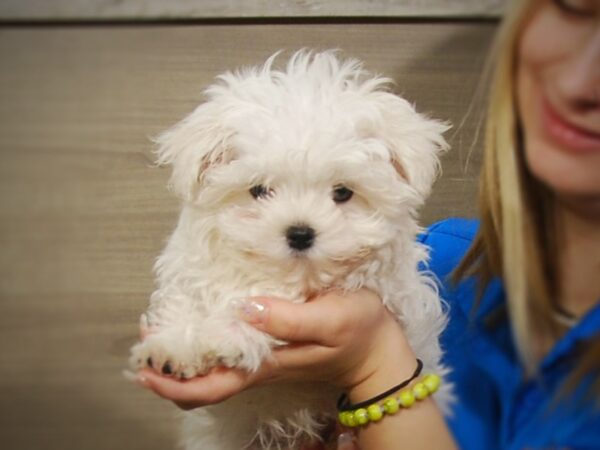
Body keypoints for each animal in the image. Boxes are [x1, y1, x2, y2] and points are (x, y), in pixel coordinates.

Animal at [130, 49, 450, 450]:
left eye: (342, 193)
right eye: (259, 190)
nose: (299, 233)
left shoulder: (382, 282)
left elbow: (266, 298)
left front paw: (228, 332)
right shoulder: (192, 265)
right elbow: (186, 300)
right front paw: (173, 346)